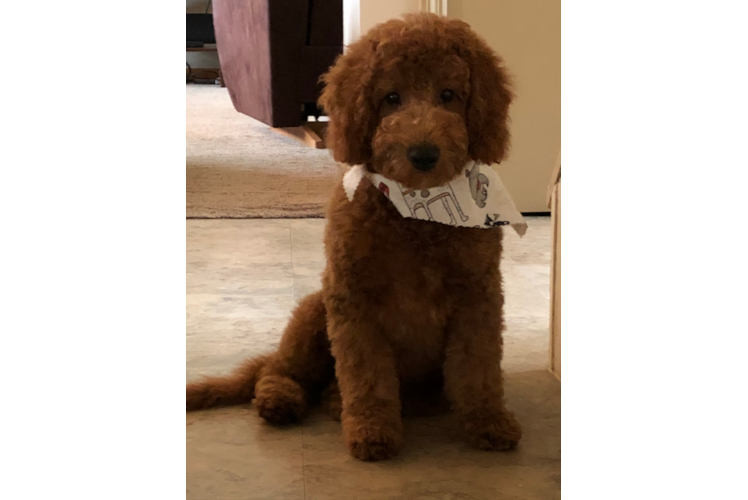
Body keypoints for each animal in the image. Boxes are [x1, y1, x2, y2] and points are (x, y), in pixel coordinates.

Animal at [187, 13, 524, 460]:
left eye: (448, 94)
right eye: (391, 97)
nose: (423, 155)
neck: (416, 218)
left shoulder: (478, 295)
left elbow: (479, 366)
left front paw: (489, 421)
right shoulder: (353, 298)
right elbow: (367, 374)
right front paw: (372, 430)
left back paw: (343, 400)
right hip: (314, 309)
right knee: (278, 369)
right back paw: (282, 399)